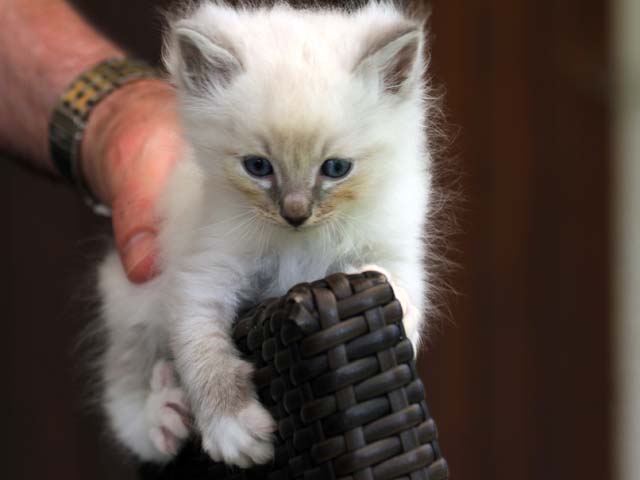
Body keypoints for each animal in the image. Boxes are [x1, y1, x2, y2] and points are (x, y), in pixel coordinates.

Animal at [99, 0, 434, 467]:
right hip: (132, 301)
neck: (299, 241)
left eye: (336, 168)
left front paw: (398, 303)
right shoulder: (203, 275)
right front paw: (233, 430)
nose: (295, 213)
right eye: (258, 167)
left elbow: (398, 284)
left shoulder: (397, 244)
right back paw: (163, 417)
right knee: (125, 396)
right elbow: (201, 351)